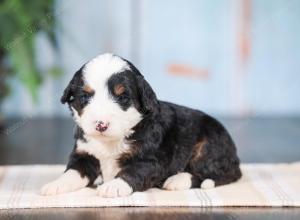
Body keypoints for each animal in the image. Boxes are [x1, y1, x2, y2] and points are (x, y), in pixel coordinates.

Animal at [40, 53, 241, 198]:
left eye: (122, 97)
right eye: (85, 97)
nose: (101, 125)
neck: (111, 141)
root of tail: (235, 158)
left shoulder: (150, 159)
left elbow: (133, 171)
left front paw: (114, 186)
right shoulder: (85, 154)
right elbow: (73, 172)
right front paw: (54, 185)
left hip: (207, 145)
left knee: (210, 173)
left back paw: (177, 180)